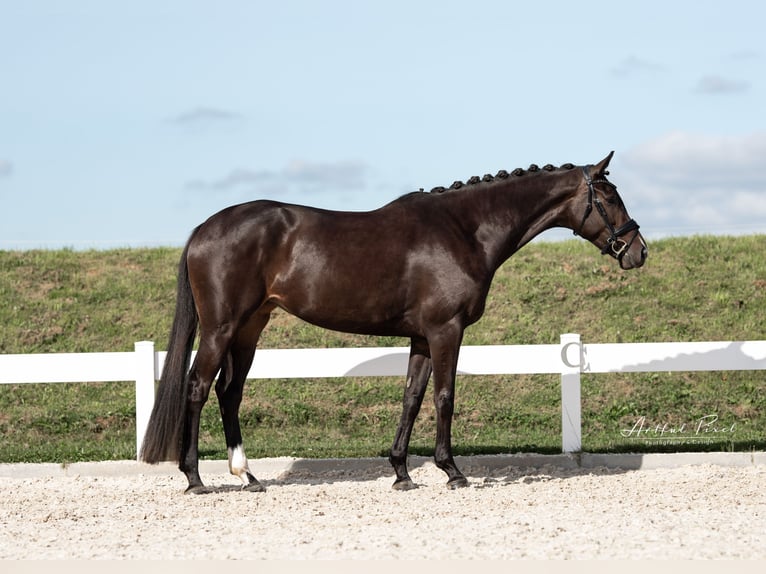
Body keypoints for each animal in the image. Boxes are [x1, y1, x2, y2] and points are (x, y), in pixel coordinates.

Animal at [140, 152, 648, 496]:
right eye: (608, 197)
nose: (638, 251)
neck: (464, 230)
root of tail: (205, 229)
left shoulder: (421, 337)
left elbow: (411, 398)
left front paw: (402, 472)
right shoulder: (446, 331)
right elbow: (444, 397)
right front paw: (452, 471)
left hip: (250, 328)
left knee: (229, 393)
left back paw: (247, 475)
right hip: (221, 328)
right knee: (197, 388)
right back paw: (195, 478)